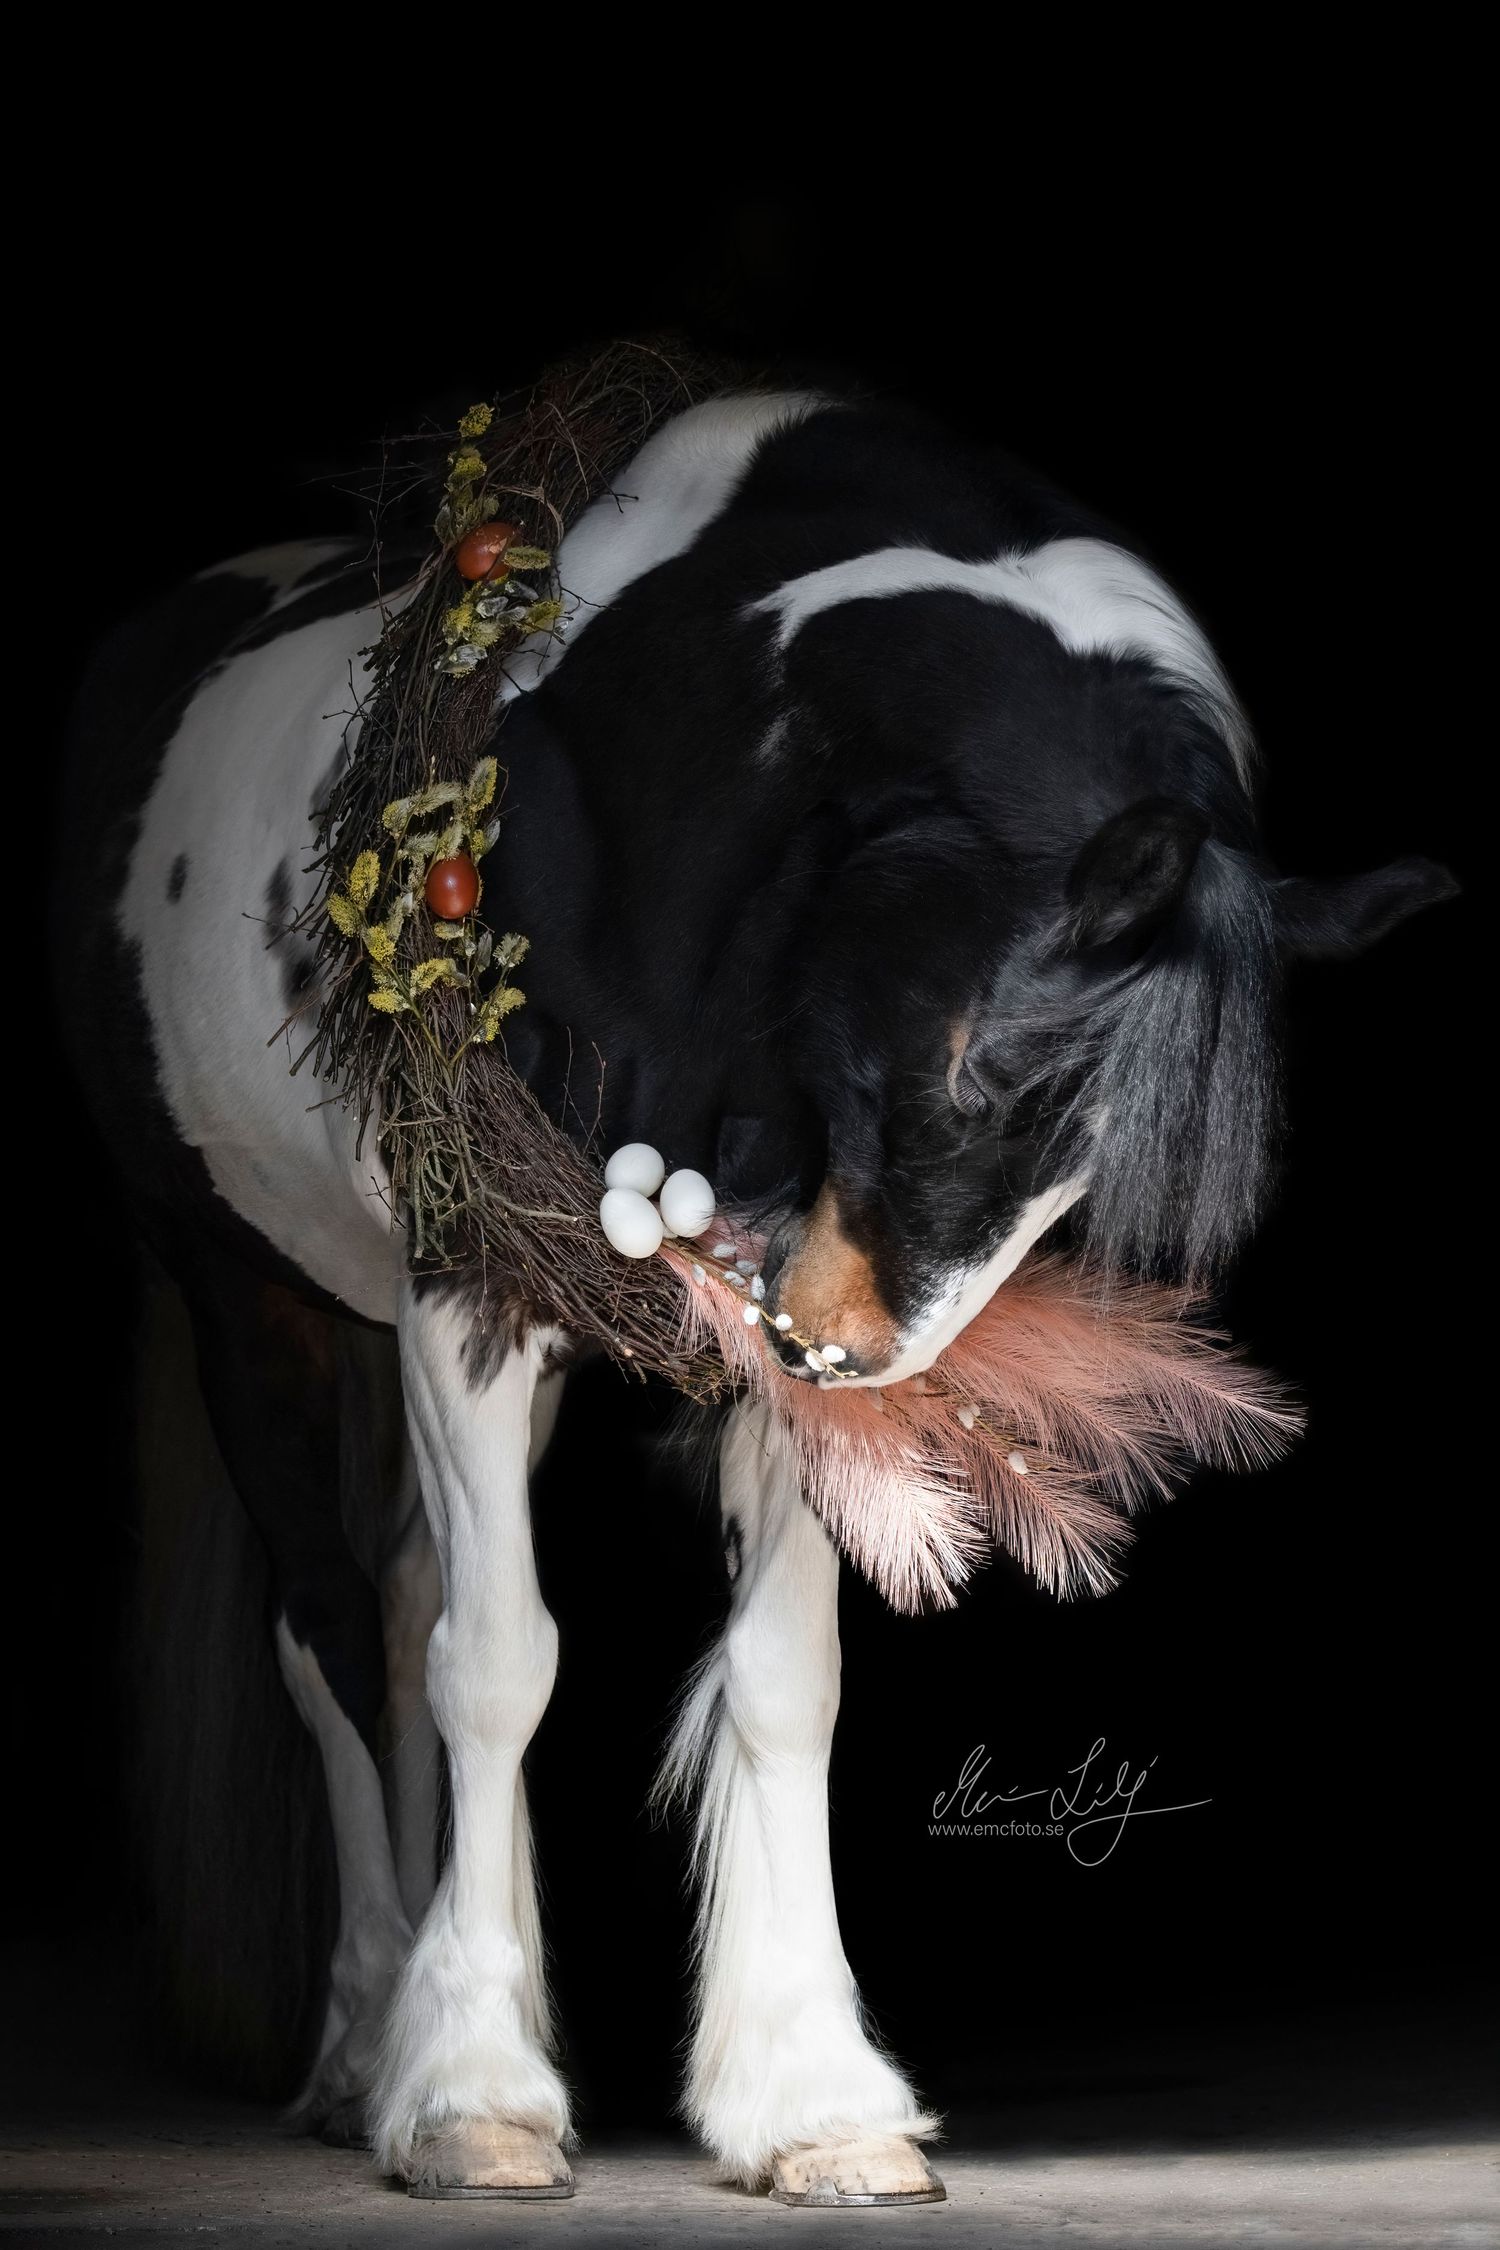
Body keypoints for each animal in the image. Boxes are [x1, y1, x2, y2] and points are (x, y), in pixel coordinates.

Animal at [61, 387, 1455, 2207]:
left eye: (1091, 1173)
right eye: (984, 1075)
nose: (849, 1355)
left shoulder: (757, 1343)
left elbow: (784, 1682)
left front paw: (812, 2099)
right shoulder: (472, 1280)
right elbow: (496, 1660)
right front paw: (473, 2102)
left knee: (409, 1594)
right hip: (255, 1310)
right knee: (345, 1642)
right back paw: (373, 2044)